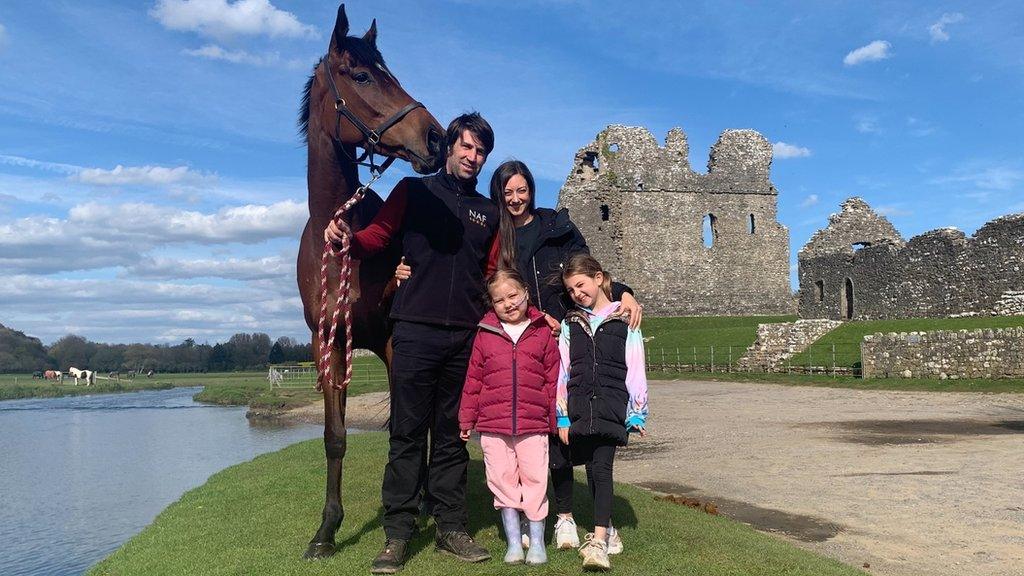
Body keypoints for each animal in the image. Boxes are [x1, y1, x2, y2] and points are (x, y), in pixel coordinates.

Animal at [292, 4, 444, 557]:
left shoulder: (400, 340)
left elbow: (409, 424)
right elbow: (334, 437)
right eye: (360, 75)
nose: (435, 136)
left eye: (390, 73)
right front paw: (325, 530)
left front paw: (411, 504)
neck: (342, 240)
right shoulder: (328, 343)